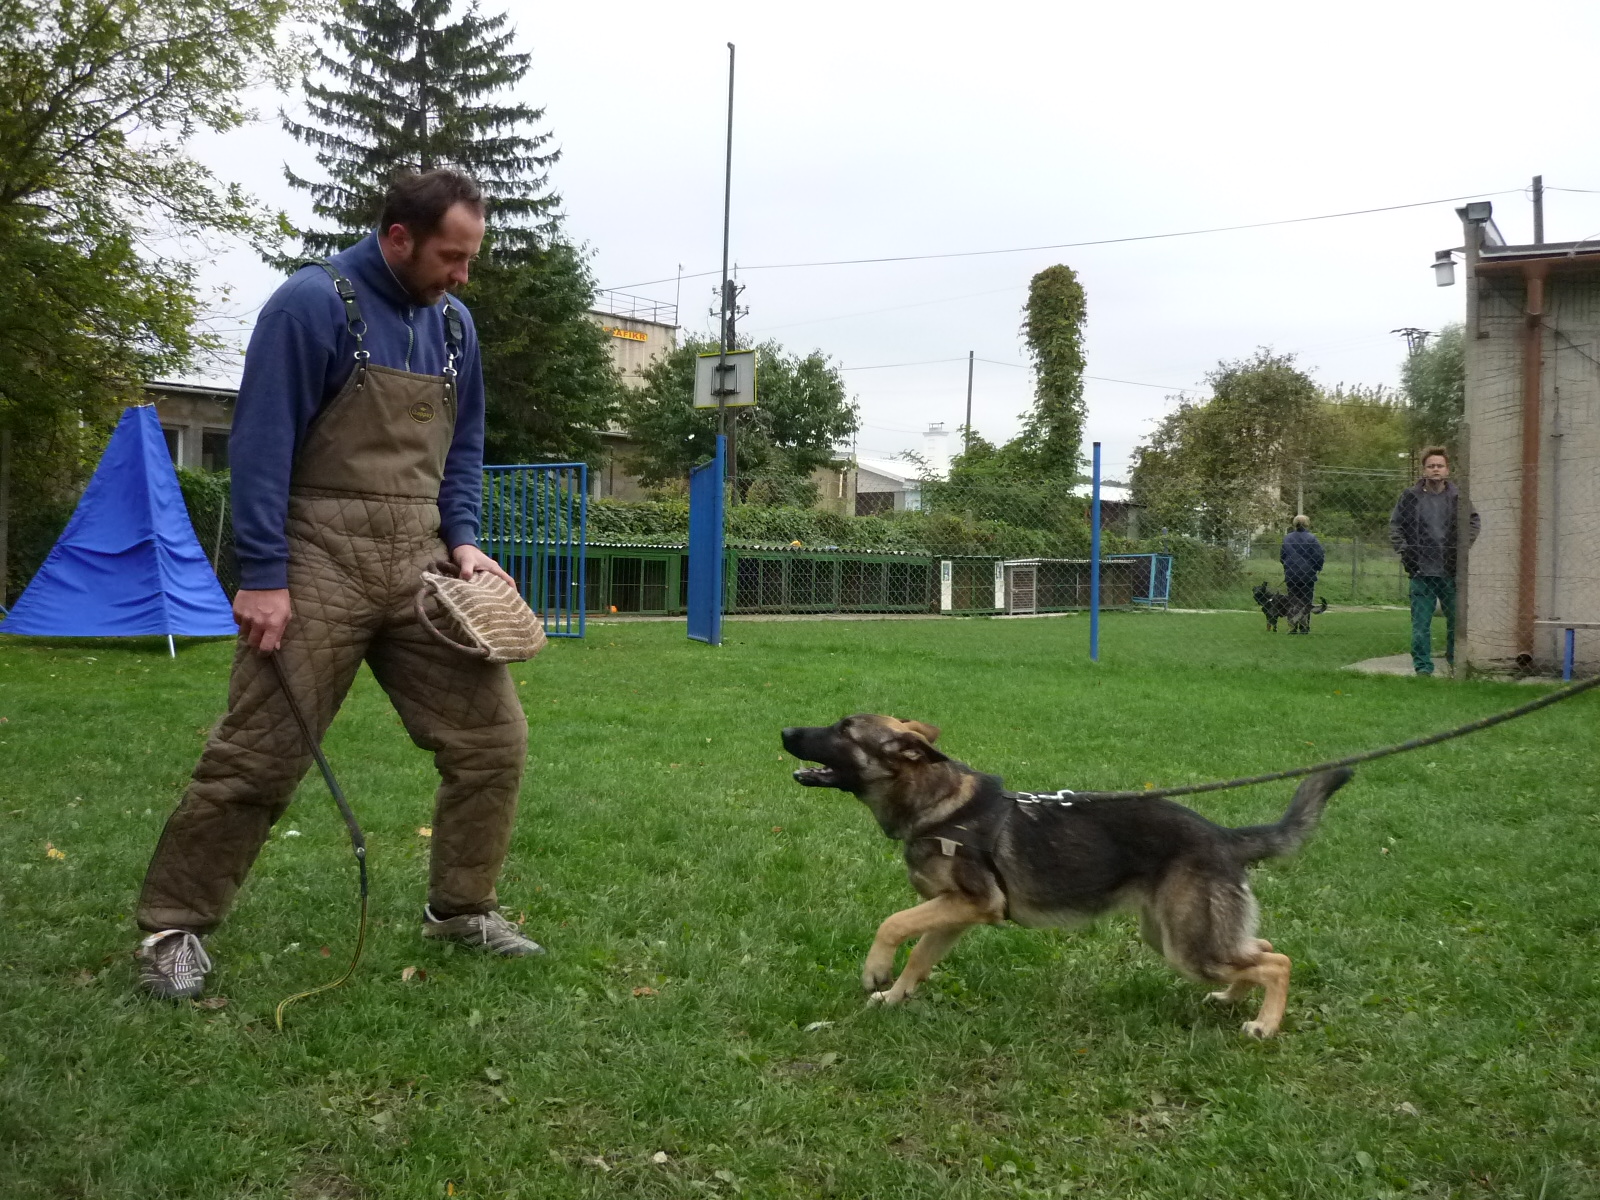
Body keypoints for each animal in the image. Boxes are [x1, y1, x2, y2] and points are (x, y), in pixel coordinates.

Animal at [782, 715, 1352, 1037]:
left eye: (844, 731)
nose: (784, 731)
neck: (939, 805)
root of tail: (1224, 836)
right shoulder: (955, 914)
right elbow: (920, 959)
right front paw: (895, 998)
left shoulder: (972, 904)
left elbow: (894, 923)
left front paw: (875, 971)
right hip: (1176, 939)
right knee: (1260, 949)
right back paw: (1234, 999)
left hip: (1187, 946)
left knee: (1278, 962)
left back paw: (1265, 1024)